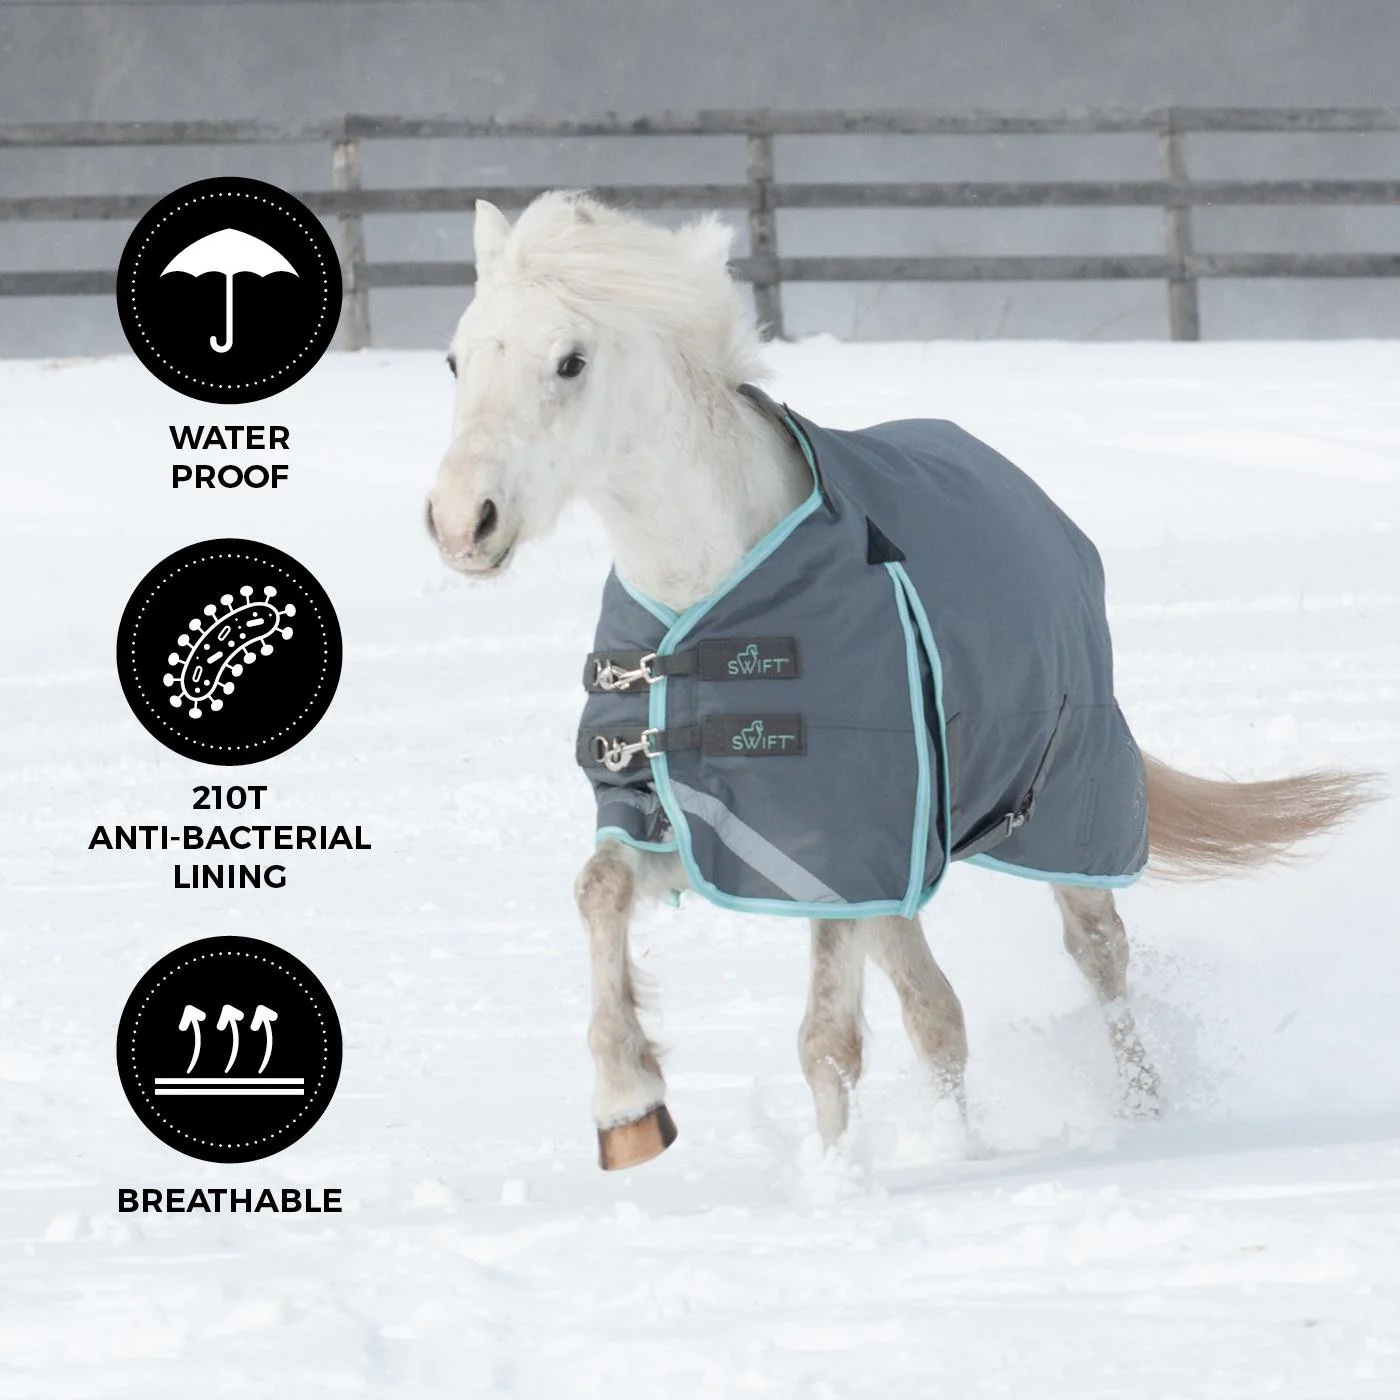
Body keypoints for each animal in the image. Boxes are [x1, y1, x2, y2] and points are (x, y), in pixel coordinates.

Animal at [425, 190, 1376, 1171]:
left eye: (569, 361)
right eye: (457, 357)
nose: (461, 522)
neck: (711, 590)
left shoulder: (839, 840)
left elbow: (827, 1041)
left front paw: (847, 1181)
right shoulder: (708, 824)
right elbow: (601, 890)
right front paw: (629, 1104)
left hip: (1068, 811)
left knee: (1098, 955)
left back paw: (1143, 1112)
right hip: (910, 850)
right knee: (936, 1010)